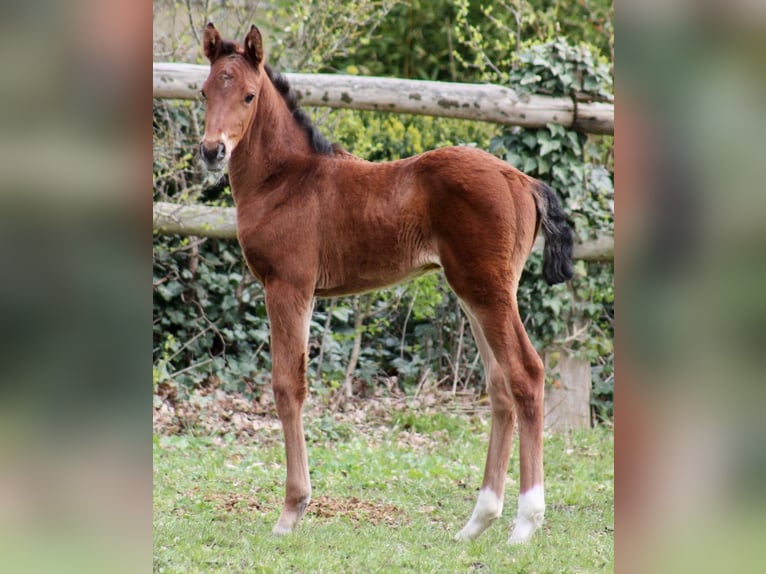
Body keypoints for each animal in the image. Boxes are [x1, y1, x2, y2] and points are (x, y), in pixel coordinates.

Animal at [201, 22, 572, 544]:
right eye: (204, 91)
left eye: (249, 95)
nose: (211, 150)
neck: (286, 180)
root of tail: (521, 179)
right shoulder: (304, 293)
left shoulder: (287, 286)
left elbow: (287, 386)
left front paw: (291, 512)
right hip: (475, 292)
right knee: (500, 384)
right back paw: (476, 523)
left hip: (488, 290)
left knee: (526, 373)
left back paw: (524, 524)